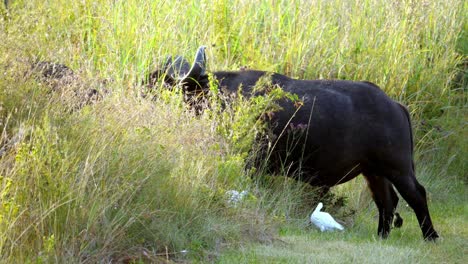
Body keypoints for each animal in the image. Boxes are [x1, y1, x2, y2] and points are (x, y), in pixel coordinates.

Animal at [148, 46, 440, 240]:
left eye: (160, 82)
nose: (142, 91)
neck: (223, 97)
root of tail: (395, 106)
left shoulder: (252, 164)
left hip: (398, 168)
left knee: (417, 195)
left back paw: (431, 236)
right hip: (373, 172)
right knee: (386, 201)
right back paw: (381, 236)